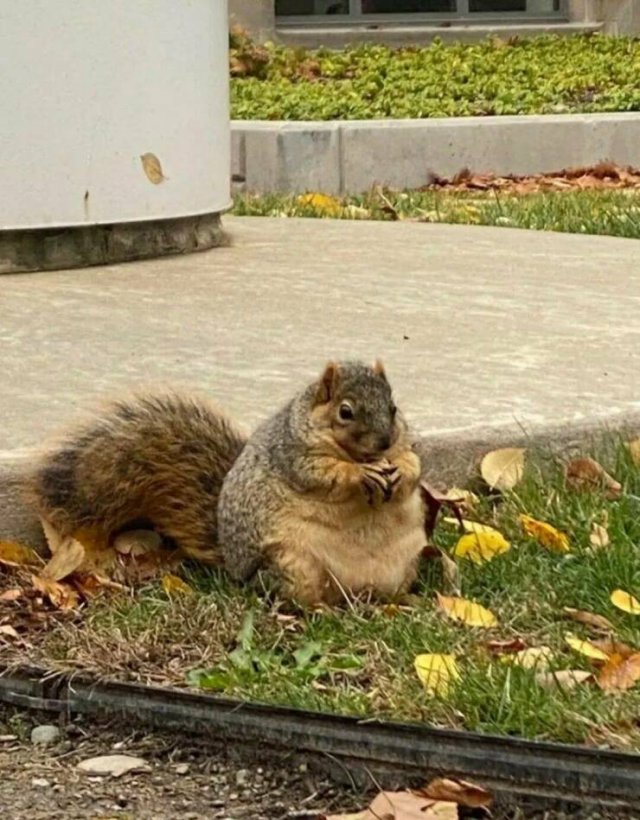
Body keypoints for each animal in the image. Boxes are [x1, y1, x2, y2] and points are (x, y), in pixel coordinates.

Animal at [25, 362, 428, 604]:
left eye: (393, 407)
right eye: (345, 411)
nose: (384, 441)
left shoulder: (403, 443)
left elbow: (413, 465)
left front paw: (399, 469)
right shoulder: (294, 454)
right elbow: (323, 474)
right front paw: (359, 475)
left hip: (408, 563)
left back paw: (407, 602)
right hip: (293, 566)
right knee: (291, 598)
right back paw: (318, 609)